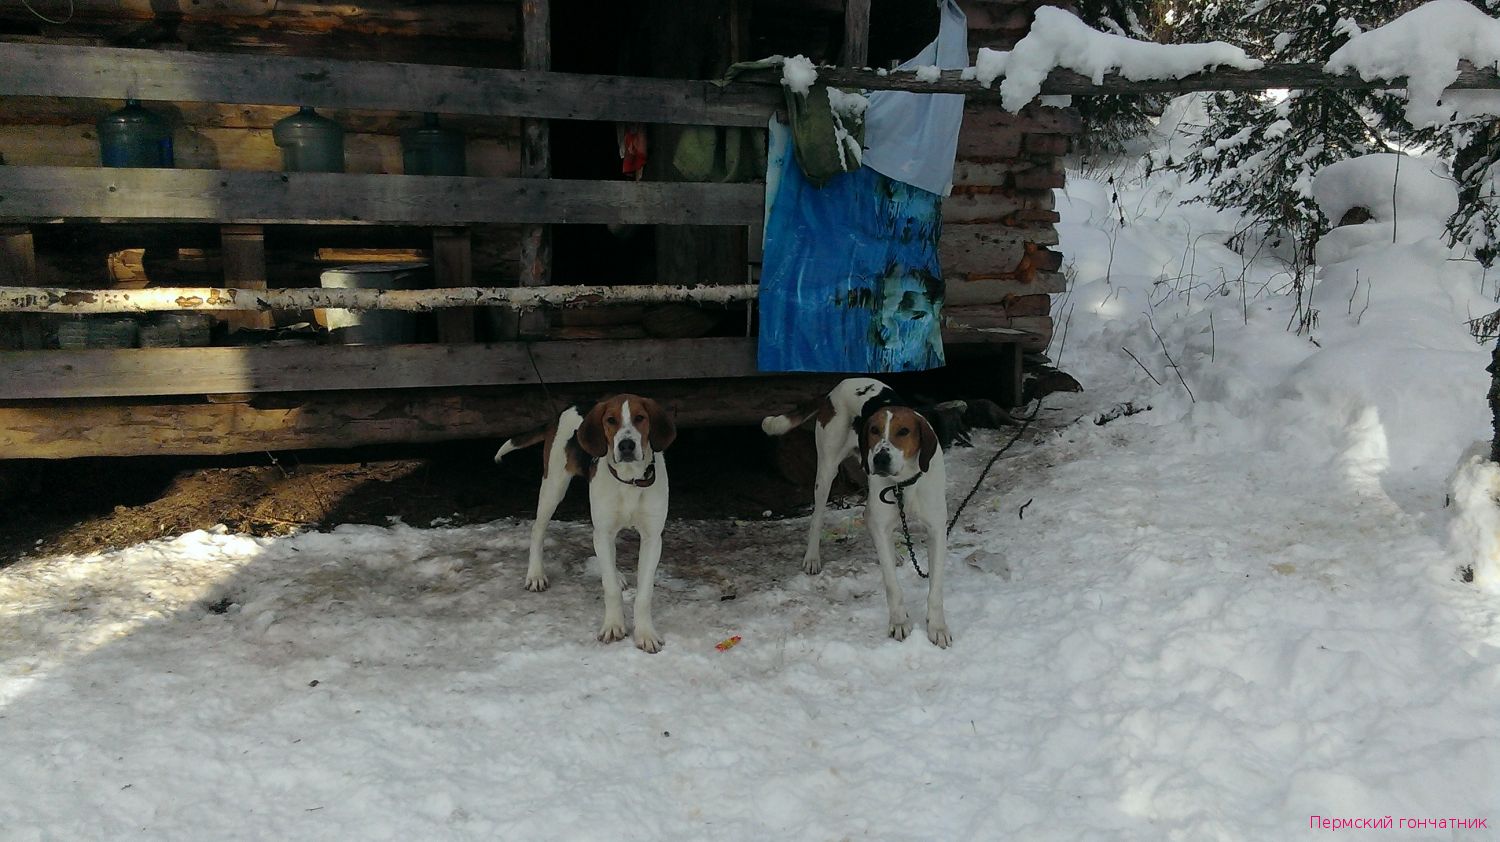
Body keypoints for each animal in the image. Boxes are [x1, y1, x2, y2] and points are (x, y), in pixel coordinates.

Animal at [495, 393, 678, 651]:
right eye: (611, 420)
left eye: (640, 418)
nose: (626, 445)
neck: (629, 479)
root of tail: (569, 408)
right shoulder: (604, 530)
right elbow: (610, 589)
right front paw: (613, 626)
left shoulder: (652, 537)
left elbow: (644, 595)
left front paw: (645, 633)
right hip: (553, 487)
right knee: (537, 531)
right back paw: (535, 574)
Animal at [762, 378, 948, 645]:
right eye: (874, 430)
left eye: (904, 431)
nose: (880, 458)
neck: (903, 482)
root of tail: (838, 386)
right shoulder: (884, 519)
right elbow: (892, 585)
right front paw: (899, 622)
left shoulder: (937, 529)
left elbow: (936, 588)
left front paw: (938, 627)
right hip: (827, 470)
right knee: (817, 518)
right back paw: (812, 557)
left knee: (867, 516)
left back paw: (894, 553)